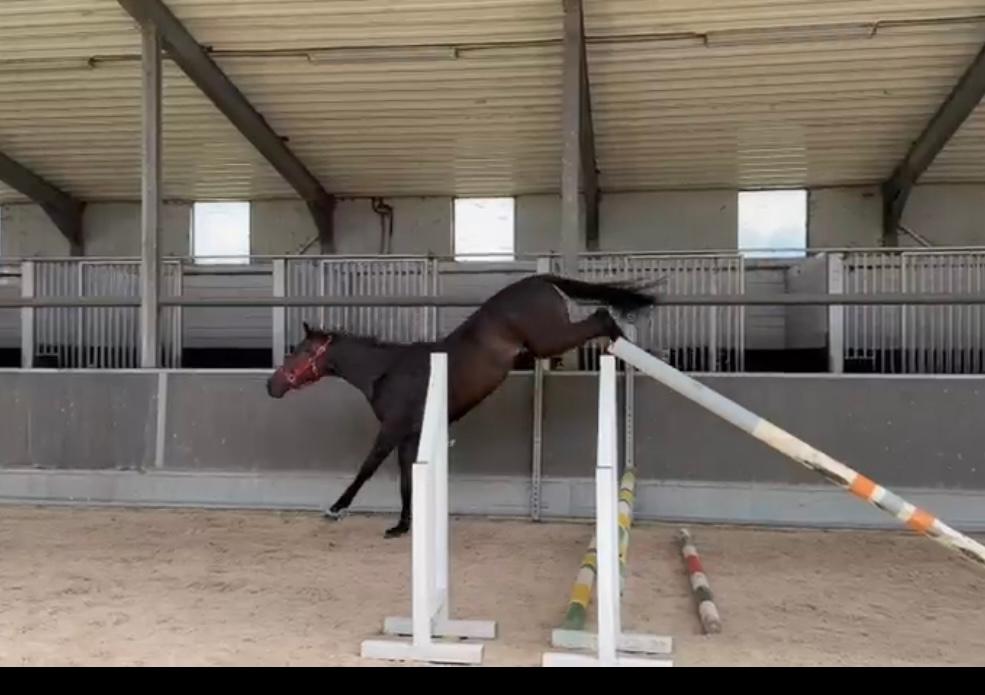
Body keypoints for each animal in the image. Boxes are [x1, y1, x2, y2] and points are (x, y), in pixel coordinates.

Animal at [266, 273, 657, 538]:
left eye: (299, 351)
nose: (272, 385)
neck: (386, 371)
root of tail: (538, 278)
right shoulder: (409, 436)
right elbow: (406, 478)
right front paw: (402, 525)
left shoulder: (391, 430)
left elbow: (366, 468)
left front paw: (336, 508)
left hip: (550, 339)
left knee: (602, 316)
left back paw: (623, 344)